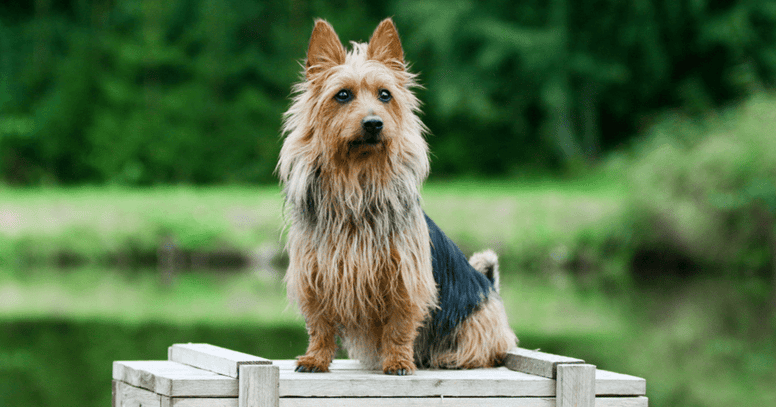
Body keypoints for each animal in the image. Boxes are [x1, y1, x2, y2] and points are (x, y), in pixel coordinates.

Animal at [276, 18, 520, 376]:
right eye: (342, 95)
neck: (358, 183)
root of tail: (489, 285)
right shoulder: (315, 273)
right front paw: (316, 358)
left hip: (480, 318)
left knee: (492, 348)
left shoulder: (405, 276)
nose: (374, 123)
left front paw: (398, 362)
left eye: (385, 95)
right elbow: (320, 324)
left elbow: (399, 324)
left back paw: (451, 358)